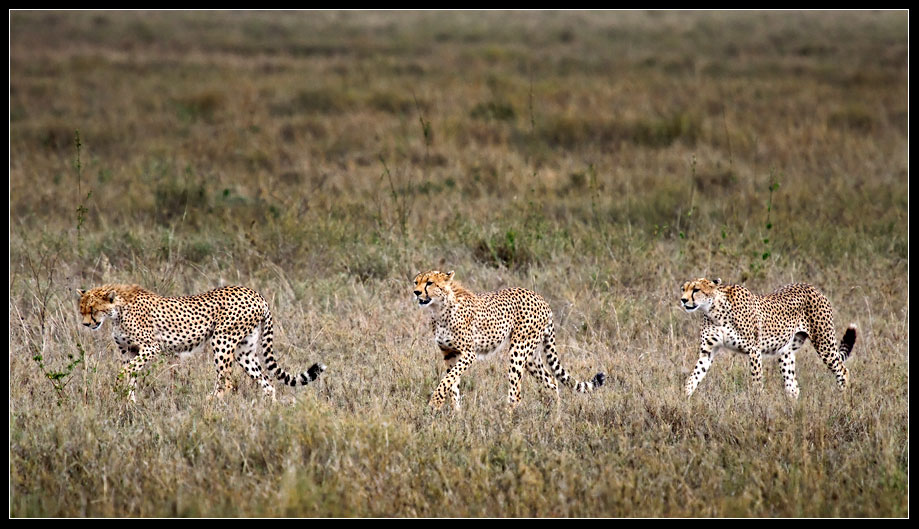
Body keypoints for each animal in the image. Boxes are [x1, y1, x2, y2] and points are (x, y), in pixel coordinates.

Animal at [77, 284, 328, 400]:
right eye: (81, 310)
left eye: (93, 309)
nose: (86, 324)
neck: (117, 311)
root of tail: (256, 294)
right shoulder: (128, 351)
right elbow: (131, 374)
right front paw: (128, 401)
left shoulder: (150, 347)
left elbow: (126, 371)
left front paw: (121, 390)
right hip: (244, 351)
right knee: (267, 382)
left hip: (222, 340)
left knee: (227, 382)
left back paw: (210, 402)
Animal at [414, 270, 608, 410]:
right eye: (416, 282)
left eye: (429, 282)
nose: (416, 292)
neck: (439, 309)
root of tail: (541, 298)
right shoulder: (449, 354)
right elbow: (452, 382)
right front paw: (456, 413)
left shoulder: (468, 353)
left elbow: (447, 380)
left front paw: (435, 403)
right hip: (531, 356)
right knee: (551, 382)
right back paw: (556, 417)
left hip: (518, 349)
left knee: (516, 393)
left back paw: (507, 422)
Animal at [680, 278, 860, 398]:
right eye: (683, 289)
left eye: (696, 290)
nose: (683, 300)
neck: (714, 310)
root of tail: (812, 287)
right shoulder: (707, 352)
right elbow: (694, 377)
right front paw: (684, 399)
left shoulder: (754, 350)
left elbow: (756, 380)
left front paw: (756, 403)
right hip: (786, 353)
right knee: (793, 386)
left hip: (824, 344)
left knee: (842, 370)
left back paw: (841, 399)